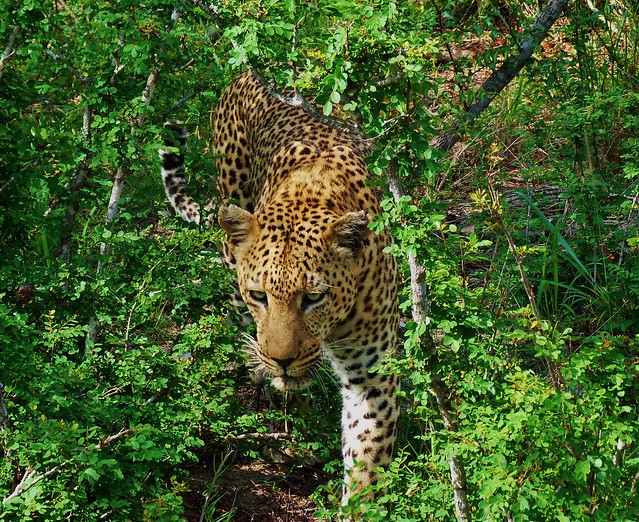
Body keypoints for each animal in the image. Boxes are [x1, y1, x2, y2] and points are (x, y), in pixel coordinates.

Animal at [159, 69, 400, 500]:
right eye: (260, 295)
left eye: (314, 298)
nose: (282, 359)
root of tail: (246, 72)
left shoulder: (372, 378)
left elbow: (367, 461)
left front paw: (357, 503)